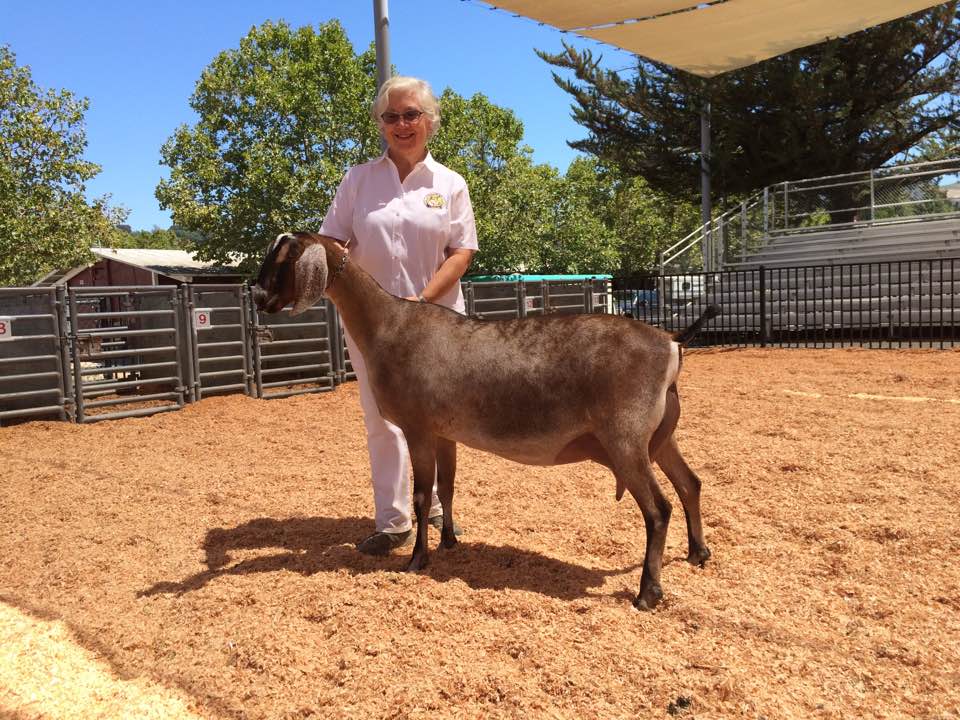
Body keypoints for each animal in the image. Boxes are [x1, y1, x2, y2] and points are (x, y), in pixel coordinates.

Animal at [252, 231, 718, 610]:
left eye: (283, 259)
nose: (257, 296)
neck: (390, 325)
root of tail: (671, 342)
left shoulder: (418, 428)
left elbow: (421, 497)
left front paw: (418, 560)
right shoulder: (444, 432)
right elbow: (446, 487)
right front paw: (450, 541)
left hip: (626, 439)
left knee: (658, 509)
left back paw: (648, 592)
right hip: (660, 436)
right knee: (690, 483)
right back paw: (698, 553)